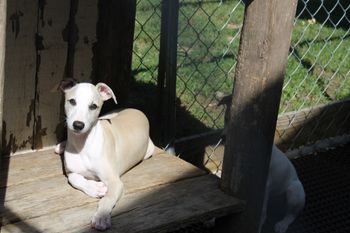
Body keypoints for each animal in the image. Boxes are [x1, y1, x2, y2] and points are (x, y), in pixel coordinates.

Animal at [57, 79, 154, 230]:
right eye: (72, 101)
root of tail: (136, 110)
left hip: (148, 150)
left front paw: (101, 217)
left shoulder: (115, 182)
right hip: (107, 116)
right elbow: (74, 178)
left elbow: (108, 198)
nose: (78, 125)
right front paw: (95, 188)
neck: (83, 145)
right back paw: (60, 146)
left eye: (93, 106)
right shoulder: (71, 171)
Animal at [219, 95, 304, 233]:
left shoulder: (264, 185)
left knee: (292, 214)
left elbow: (261, 213)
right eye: (226, 118)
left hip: (294, 191)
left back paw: (282, 225)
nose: (224, 138)